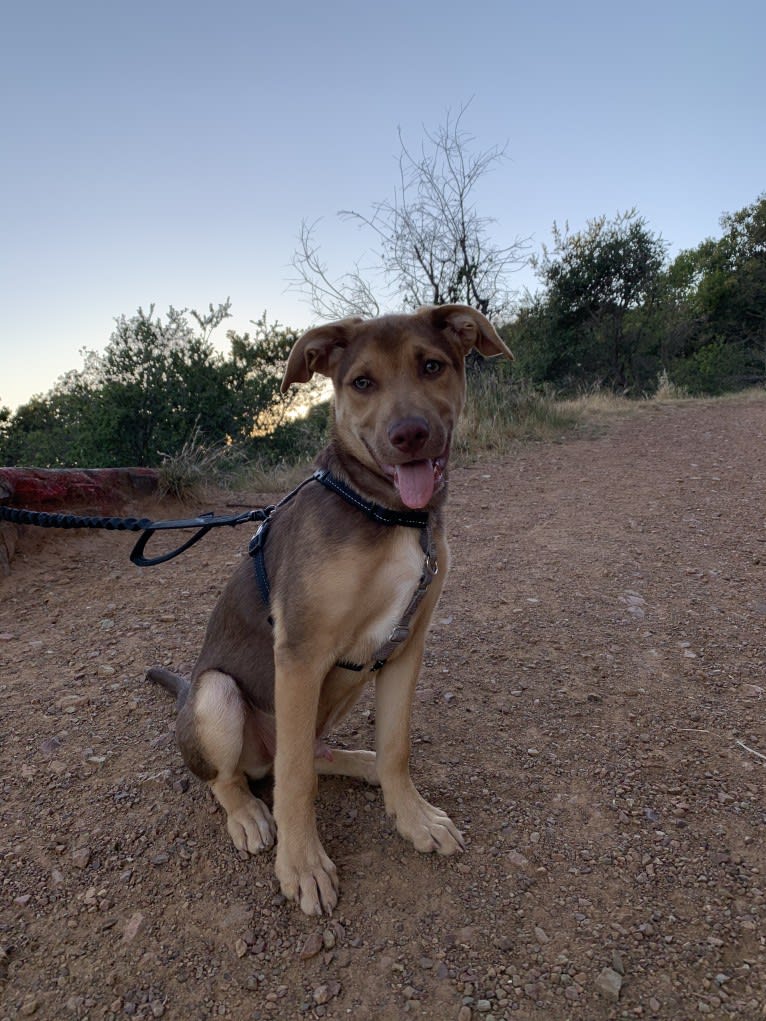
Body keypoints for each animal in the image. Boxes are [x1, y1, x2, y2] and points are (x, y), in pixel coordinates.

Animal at [148, 302, 516, 918]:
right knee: (241, 776)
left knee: (310, 753)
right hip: (218, 694)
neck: (388, 513)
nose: (409, 435)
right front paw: (302, 865)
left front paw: (412, 815)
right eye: (362, 383)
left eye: (432, 366)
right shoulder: (300, 654)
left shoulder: (406, 644)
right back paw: (248, 815)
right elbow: (297, 783)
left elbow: (396, 747)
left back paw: (360, 763)